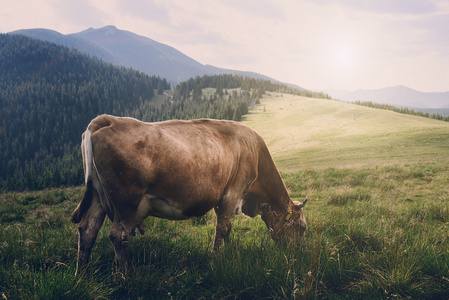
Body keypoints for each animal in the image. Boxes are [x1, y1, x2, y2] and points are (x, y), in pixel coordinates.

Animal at [71, 115, 308, 274]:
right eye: (303, 228)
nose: (297, 254)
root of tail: (107, 120)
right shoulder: (232, 193)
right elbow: (222, 229)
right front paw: (217, 260)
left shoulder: (222, 198)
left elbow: (227, 229)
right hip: (126, 200)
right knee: (118, 235)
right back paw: (128, 276)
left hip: (96, 195)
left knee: (88, 229)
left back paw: (82, 274)